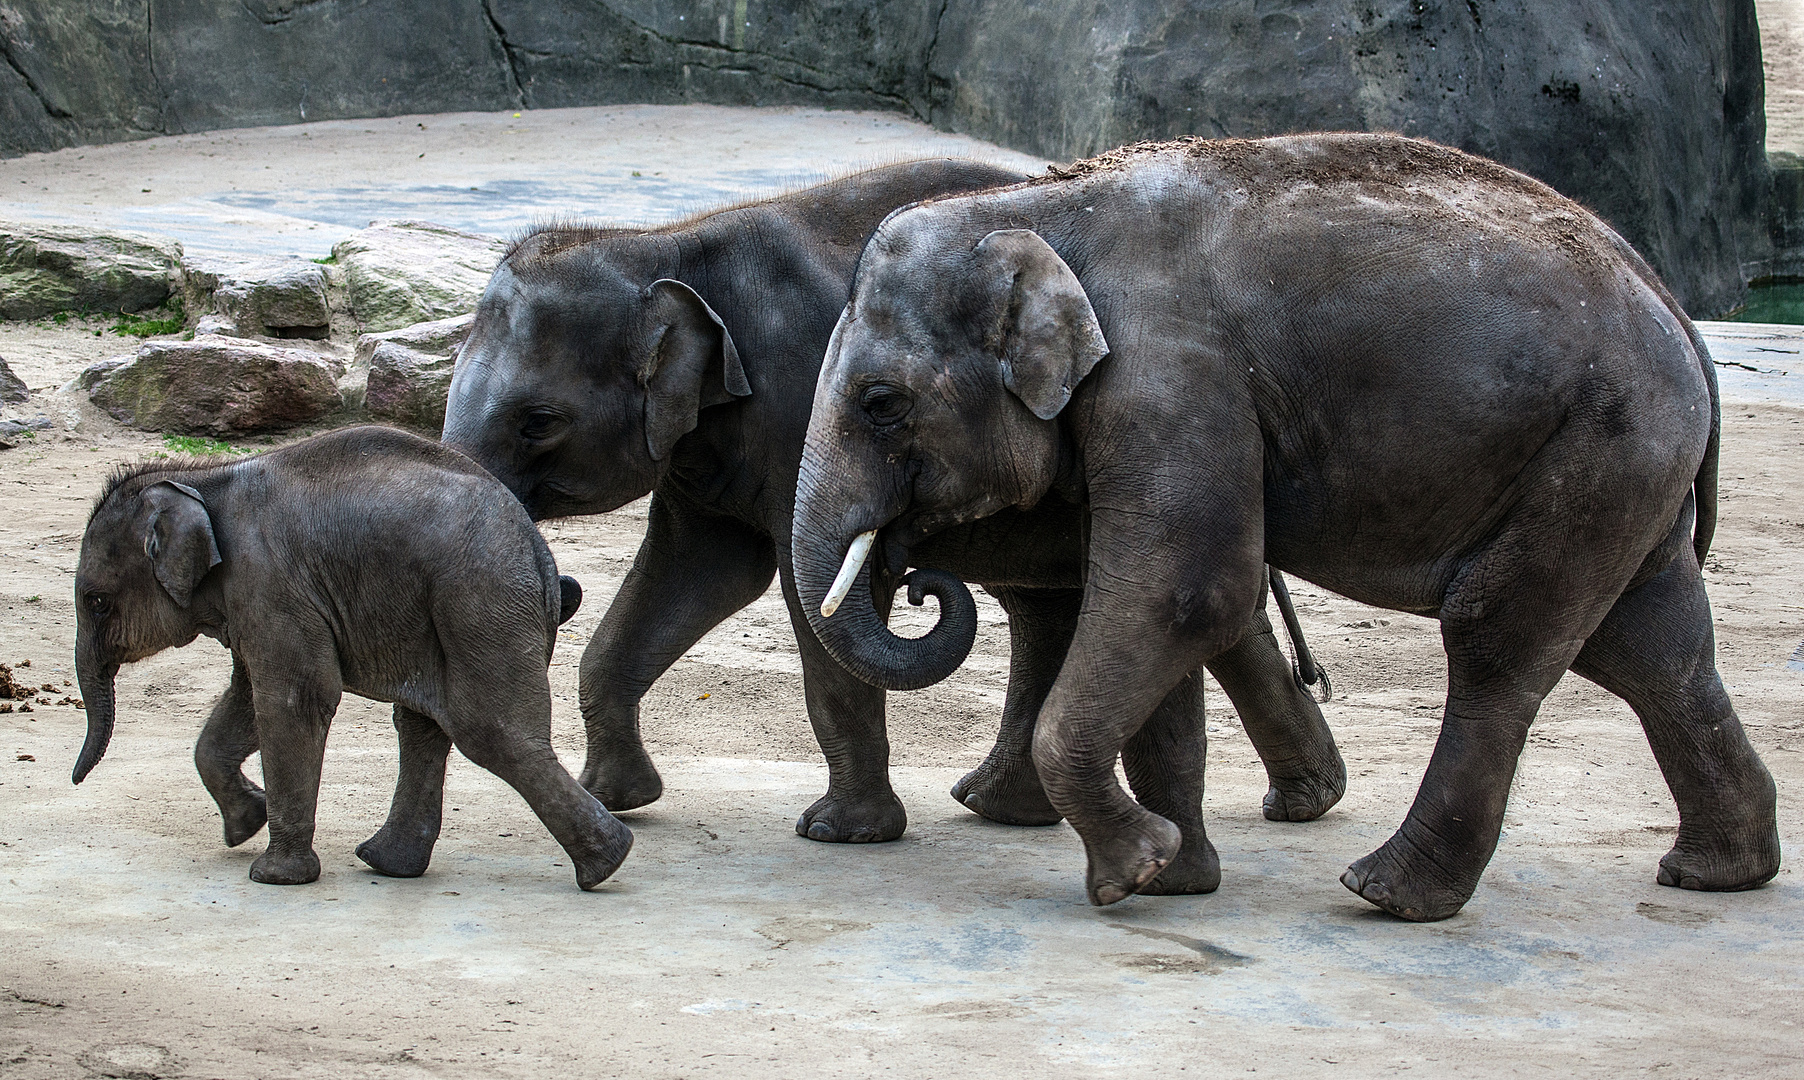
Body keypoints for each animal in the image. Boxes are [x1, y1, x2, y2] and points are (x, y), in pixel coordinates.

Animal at [68, 427, 635, 890]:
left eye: (95, 602)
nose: (74, 782)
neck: (200, 480)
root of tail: (542, 557)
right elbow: (250, 695)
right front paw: (245, 825)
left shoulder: (269, 584)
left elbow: (294, 698)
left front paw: (273, 877)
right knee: (426, 724)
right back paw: (388, 864)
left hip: (481, 599)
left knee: (492, 732)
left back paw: (608, 864)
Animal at [436, 155, 1342, 861]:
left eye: (538, 421)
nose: (562, 588)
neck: (665, 241)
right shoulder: (707, 450)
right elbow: (695, 574)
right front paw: (619, 797)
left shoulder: (797, 406)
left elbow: (808, 596)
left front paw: (839, 834)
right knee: (1058, 603)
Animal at [793, 130, 1775, 915]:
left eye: (881, 404)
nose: (916, 579)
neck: (1038, 205)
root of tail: (1672, 304)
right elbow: (1157, 607)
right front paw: (1174, 879)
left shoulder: (1171, 375)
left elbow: (1182, 592)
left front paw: (1129, 875)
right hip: (1626, 463)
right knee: (1653, 648)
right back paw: (1720, 872)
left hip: (1604, 441)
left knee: (1500, 638)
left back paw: (1388, 894)